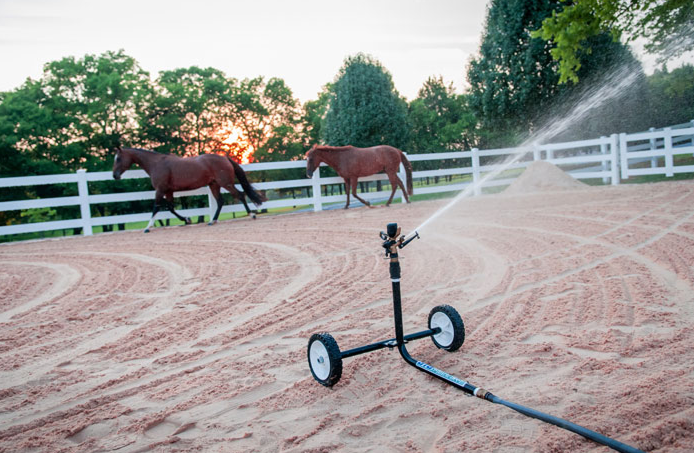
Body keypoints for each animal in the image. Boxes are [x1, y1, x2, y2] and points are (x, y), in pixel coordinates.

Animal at [112, 147, 264, 233]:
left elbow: (156, 207)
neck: (156, 164)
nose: (115, 175)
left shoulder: (160, 190)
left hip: (226, 184)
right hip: (214, 185)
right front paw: (187, 219)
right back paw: (212, 221)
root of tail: (225, 158)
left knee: (240, 195)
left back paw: (252, 214)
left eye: (118, 158)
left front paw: (147, 227)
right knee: (220, 201)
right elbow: (171, 208)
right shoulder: (169, 191)